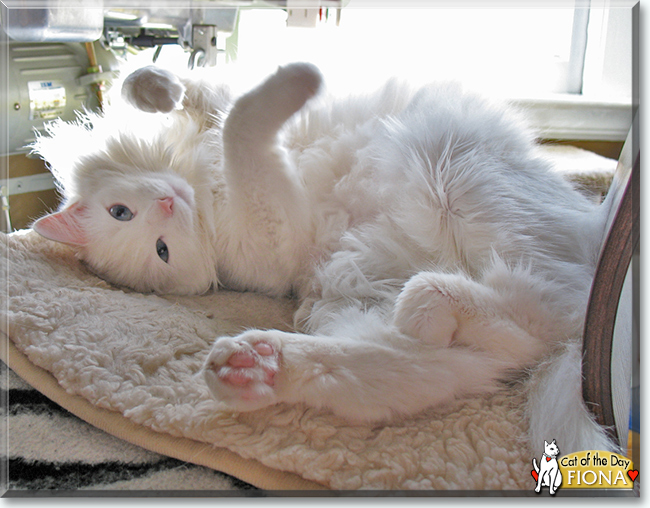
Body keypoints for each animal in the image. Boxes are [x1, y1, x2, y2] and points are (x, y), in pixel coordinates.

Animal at [30, 62, 604, 420]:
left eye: (121, 212)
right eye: (162, 250)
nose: (170, 206)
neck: (196, 178)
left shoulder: (212, 106)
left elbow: (167, 88)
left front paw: (158, 88)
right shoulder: (270, 229)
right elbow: (242, 125)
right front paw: (300, 79)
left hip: (454, 181)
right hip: (437, 197)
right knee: (522, 319)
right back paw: (256, 365)